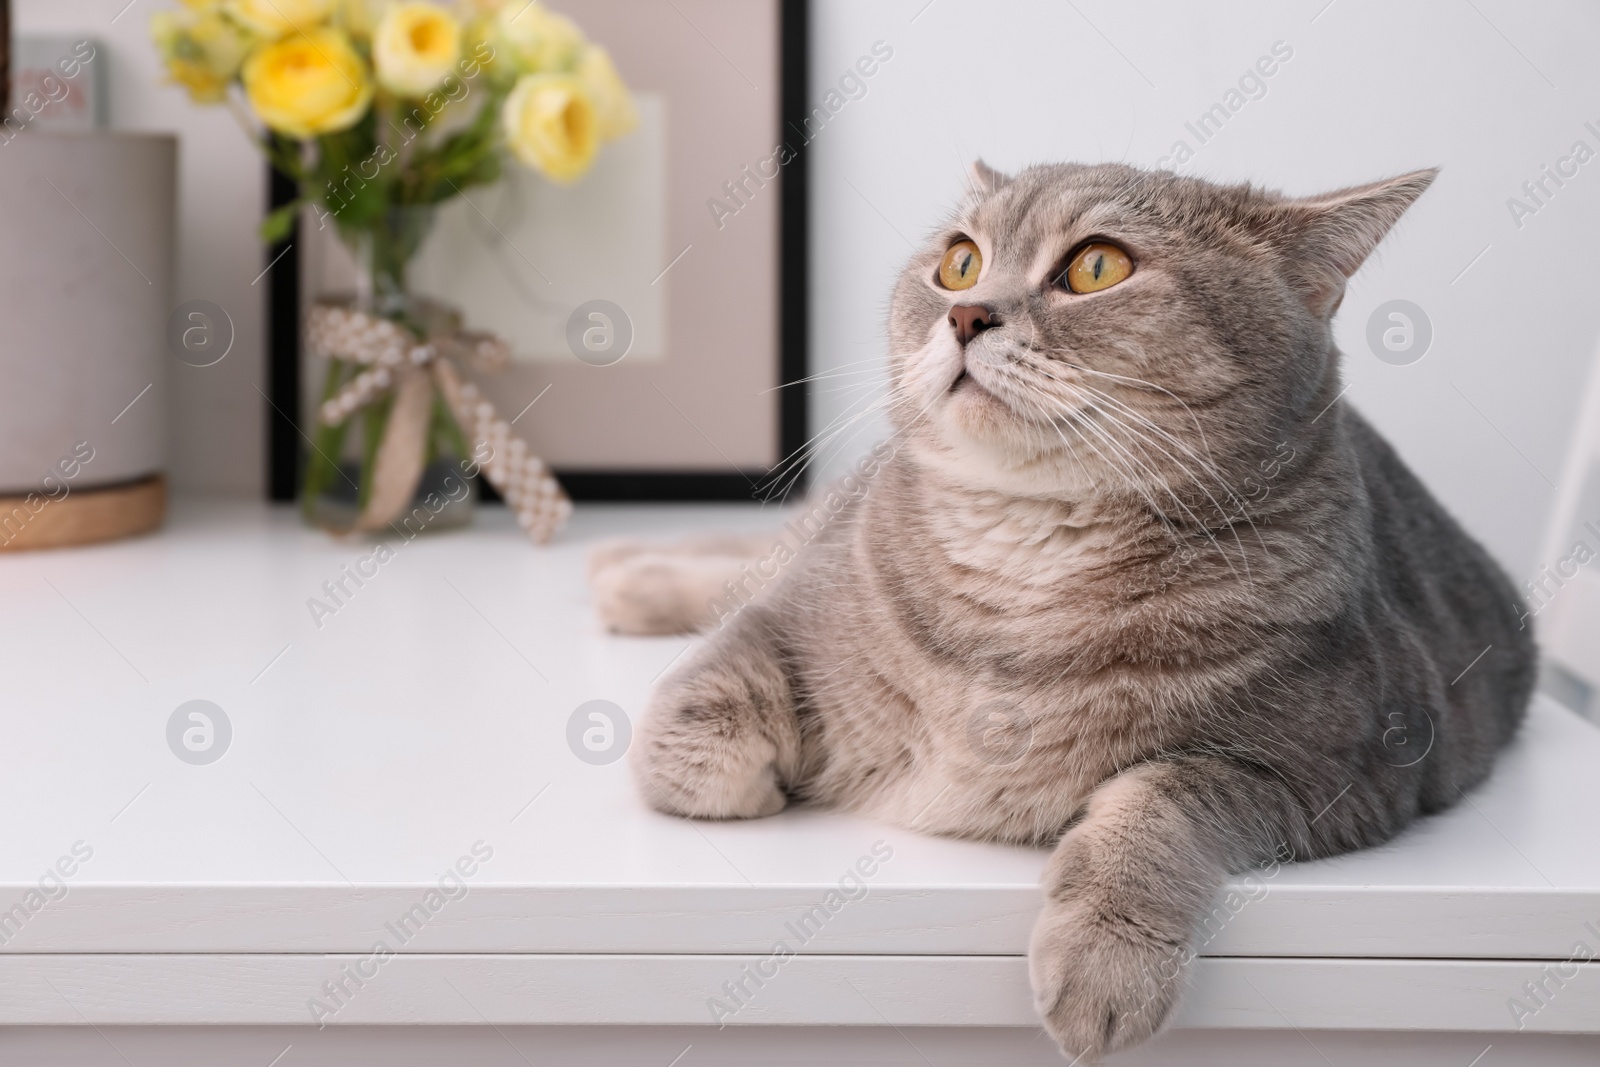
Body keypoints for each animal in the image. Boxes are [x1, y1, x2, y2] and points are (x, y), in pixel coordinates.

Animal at [601, 163, 1536, 1062]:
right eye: (960, 263)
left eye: (1096, 267)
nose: (967, 313)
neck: (1025, 558)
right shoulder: (789, 614)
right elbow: (690, 737)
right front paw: (756, 773)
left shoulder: (1336, 769)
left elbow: (1157, 801)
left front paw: (1104, 959)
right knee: (748, 559)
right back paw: (628, 572)